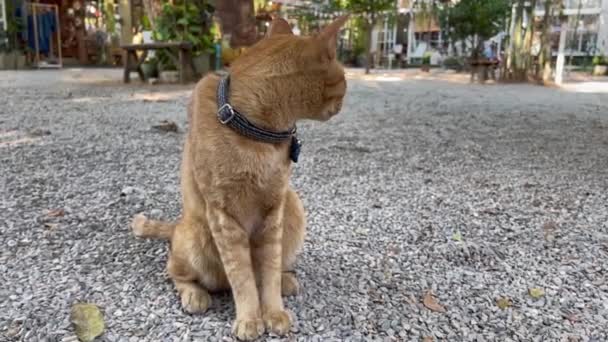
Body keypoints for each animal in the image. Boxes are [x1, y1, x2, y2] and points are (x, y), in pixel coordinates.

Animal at [131, 14, 350, 340]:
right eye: (345, 80)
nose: (344, 102)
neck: (258, 131)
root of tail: (178, 224)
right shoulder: (225, 217)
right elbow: (242, 276)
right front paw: (249, 318)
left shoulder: (274, 211)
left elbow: (267, 270)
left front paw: (273, 311)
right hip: (196, 236)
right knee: (176, 272)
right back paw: (194, 295)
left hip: (293, 205)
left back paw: (286, 279)